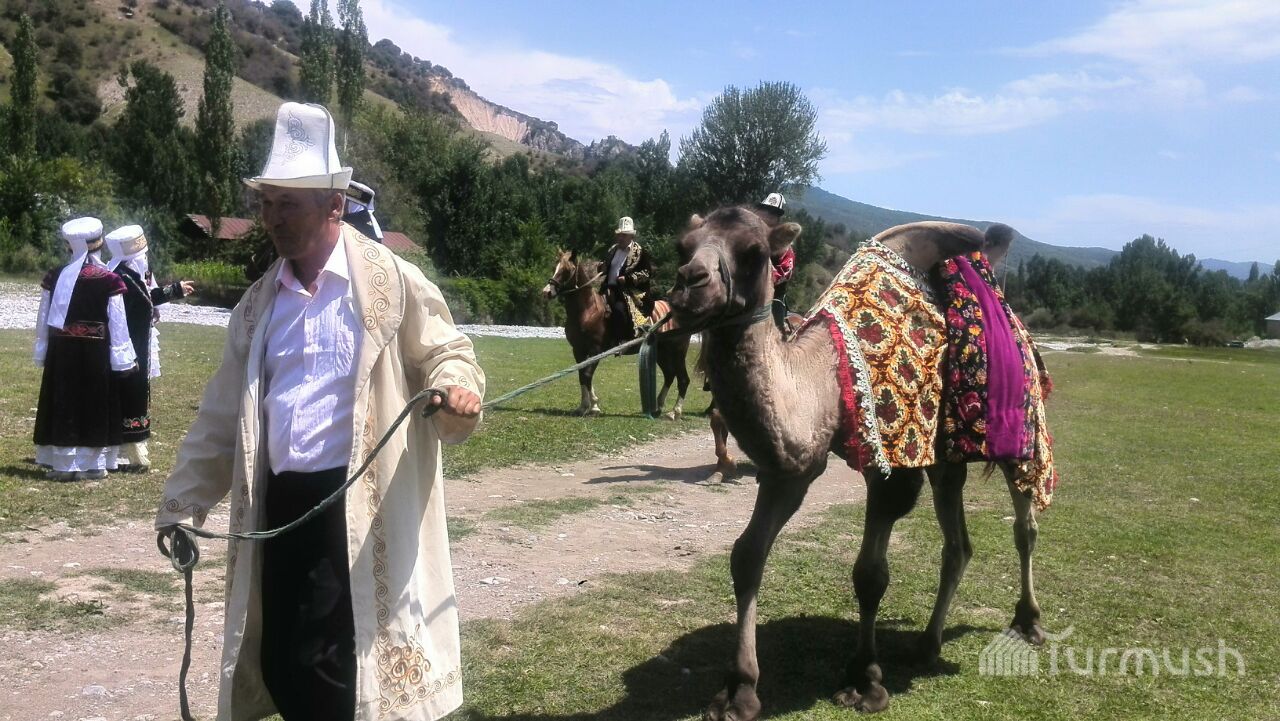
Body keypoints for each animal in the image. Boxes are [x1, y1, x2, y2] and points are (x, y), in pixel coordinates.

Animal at [542, 250, 691, 418]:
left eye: (567, 270)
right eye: (555, 267)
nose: (547, 292)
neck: (588, 311)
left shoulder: (596, 350)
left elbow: (587, 375)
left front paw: (594, 406)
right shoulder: (578, 350)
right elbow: (582, 375)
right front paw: (583, 406)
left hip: (678, 352)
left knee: (683, 379)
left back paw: (675, 412)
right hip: (662, 352)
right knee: (669, 375)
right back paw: (658, 407)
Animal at [668, 208, 1046, 718]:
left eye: (755, 252)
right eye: (683, 247)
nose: (690, 281)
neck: (828, 370)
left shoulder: (893, 464)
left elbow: (870, 574)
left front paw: (864, 680)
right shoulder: (795, 464)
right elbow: (746, 555)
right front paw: (739, 691)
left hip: (1022, 434)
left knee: (1024, 524)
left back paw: (1028, 621)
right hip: (945, 458)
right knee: (958, 545)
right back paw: (927, 644)